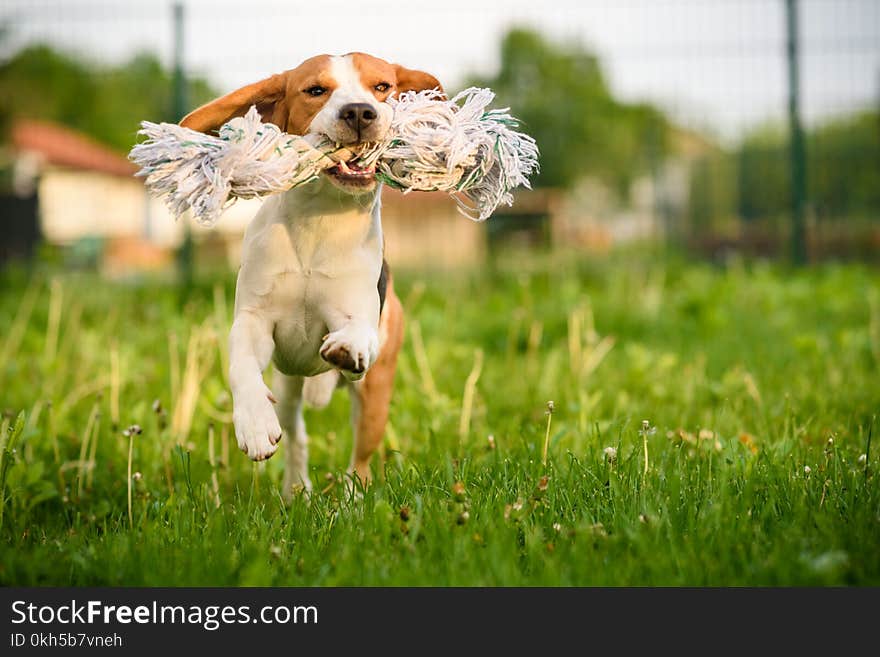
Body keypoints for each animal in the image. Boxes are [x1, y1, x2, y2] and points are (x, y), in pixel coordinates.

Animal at [180, 52, 444, 492]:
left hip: (375, 394)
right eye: (316, 90)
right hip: (288, 387)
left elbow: (356, 331)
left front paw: (347, 345)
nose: (359, 112)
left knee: (361, 459)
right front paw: (253, 424)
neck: (322, 219)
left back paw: (352, 499)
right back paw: (296, 488)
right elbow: (241, 365)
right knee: (296, 434)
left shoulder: (359, 315)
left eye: (382, 87)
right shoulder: (254, 320)